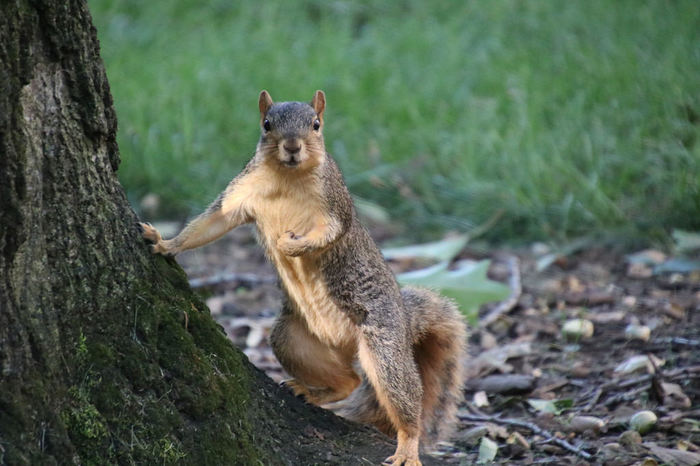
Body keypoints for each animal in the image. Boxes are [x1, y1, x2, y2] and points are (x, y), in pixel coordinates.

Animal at [139, 91, 468, 466]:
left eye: (316, 124)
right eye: (267, 124)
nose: (293, 146)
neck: (288, 177)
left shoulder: (335, 203)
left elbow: (330, 232)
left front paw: (290, 245)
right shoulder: (239, 194)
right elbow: (211, 223)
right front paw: (166, 244)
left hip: (382, 343)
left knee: (398, 394)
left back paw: (408, 447)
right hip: (293, 339)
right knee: (349, 380)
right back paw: (312, 391)